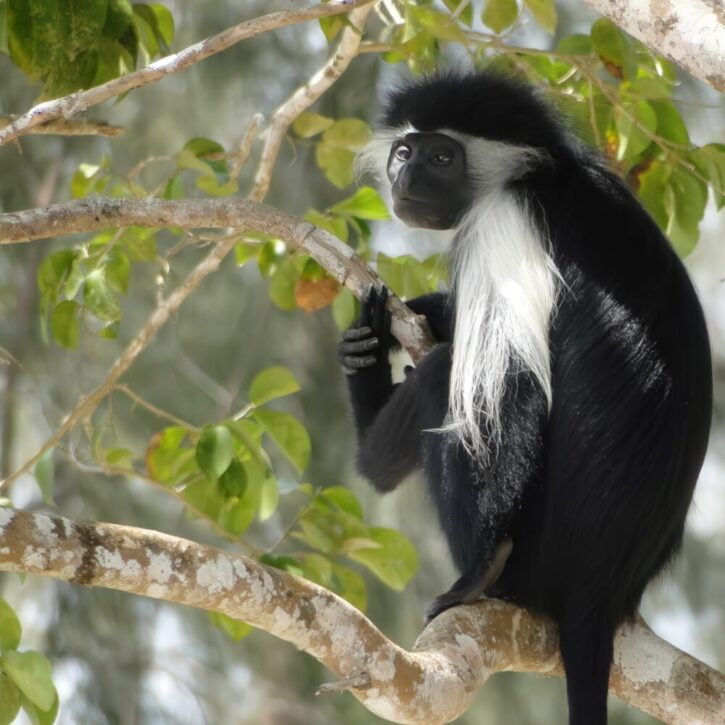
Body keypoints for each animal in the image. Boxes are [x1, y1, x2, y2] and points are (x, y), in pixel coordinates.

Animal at [336, 72, 708, 724]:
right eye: (404, 152)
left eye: (441, 157)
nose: (406, 178)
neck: (544, 169)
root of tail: (598, 597)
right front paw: (403, 321)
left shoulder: (504, 221)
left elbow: (512, 393)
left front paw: (477, 571)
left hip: (536, 557)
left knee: (447, 384)